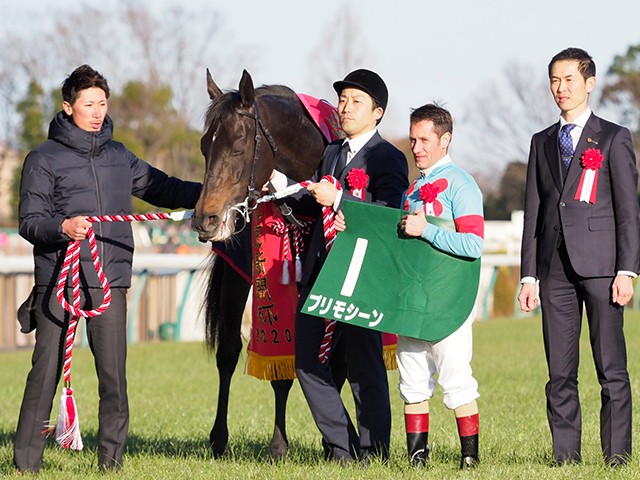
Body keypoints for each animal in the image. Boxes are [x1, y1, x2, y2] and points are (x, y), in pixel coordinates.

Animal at [190, 69, 340, 460]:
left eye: (238, 147)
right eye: (204, 146)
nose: (204, 219)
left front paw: (315, 441)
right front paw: (272, 443)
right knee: (229, 351)